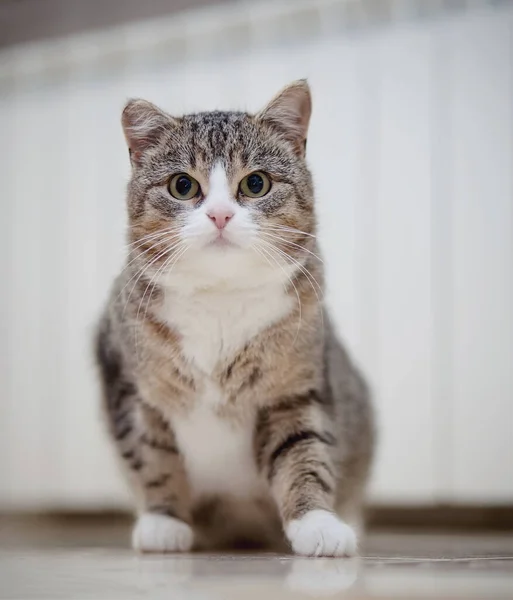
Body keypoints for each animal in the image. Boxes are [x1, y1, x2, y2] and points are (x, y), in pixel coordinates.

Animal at [96, 81, 374, 556]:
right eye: (183, 186)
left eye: (256, 183)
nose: (220, 215)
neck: (219, 299)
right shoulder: (128, 384)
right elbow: (152, 457)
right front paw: (163, 521)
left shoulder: (295, 388)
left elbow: (303, 452)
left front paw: (317, 522)